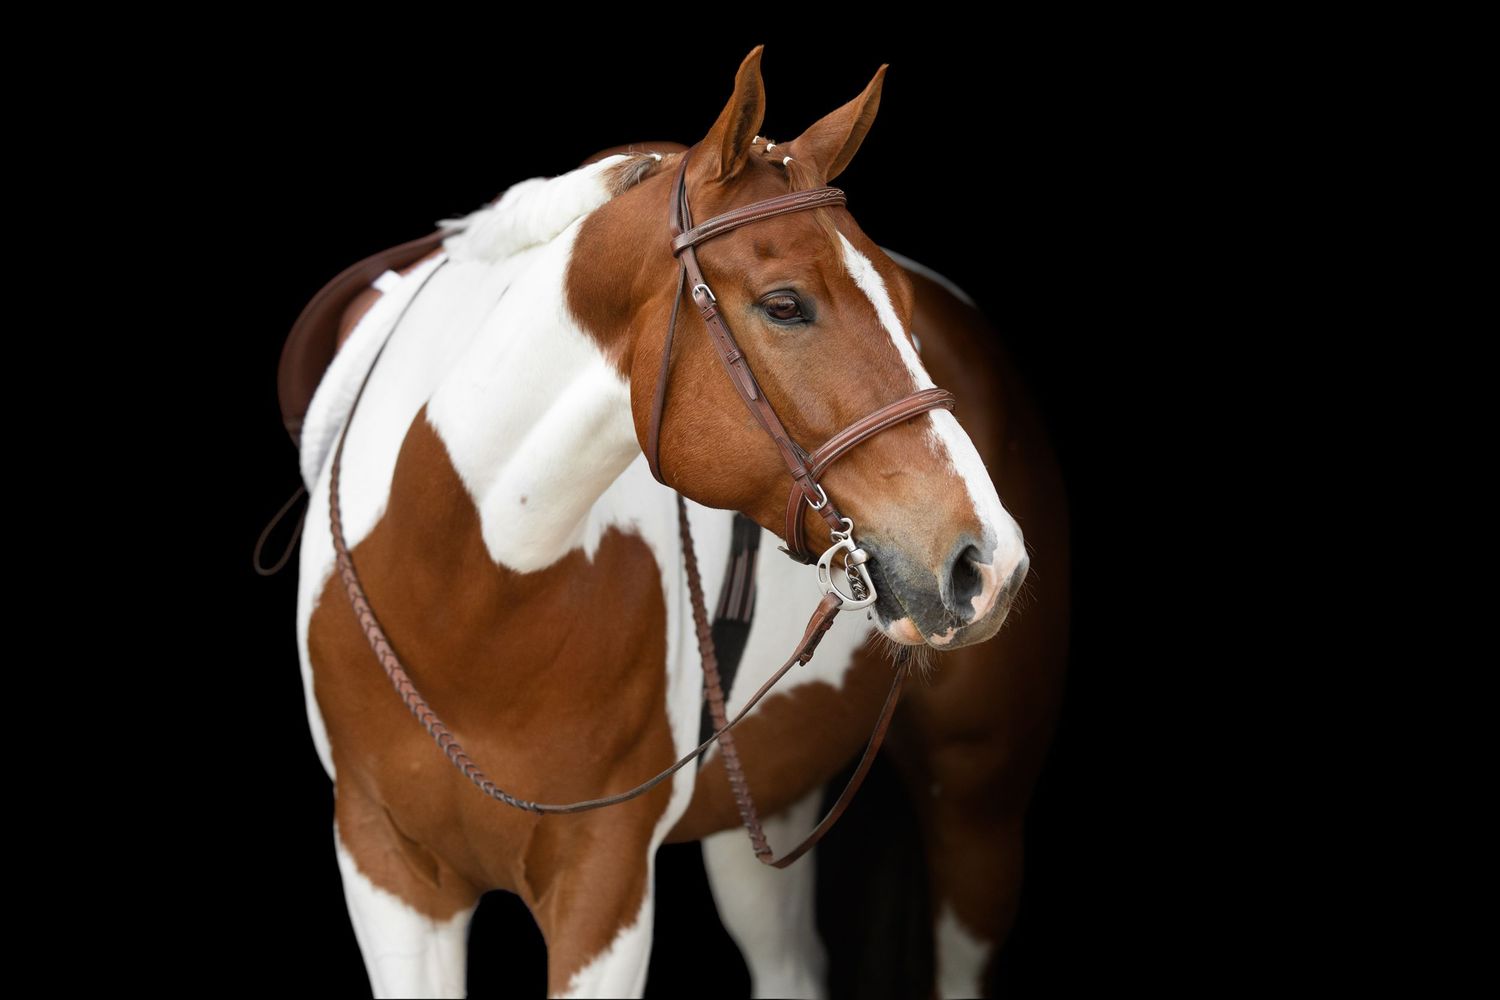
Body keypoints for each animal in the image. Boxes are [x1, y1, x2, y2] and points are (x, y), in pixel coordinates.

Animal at [284, 46, 1069, 998]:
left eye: (905, 312)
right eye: (783, 304)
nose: (987, 563)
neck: (460, 594)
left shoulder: (604, 883)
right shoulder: (387, 873)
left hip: (979, 801)